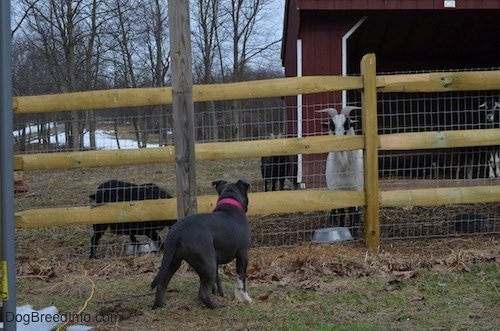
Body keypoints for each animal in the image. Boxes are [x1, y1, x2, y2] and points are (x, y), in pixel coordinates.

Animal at [150, 180, 252, 310]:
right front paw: (244, 298)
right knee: (203, 294)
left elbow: (217, 279)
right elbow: (241, 279)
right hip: (208, 263)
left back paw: (159, 306)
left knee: (161, 285)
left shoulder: (216, 258)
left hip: (174, 262)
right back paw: (217, 306)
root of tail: (177, 230)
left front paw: (220, 293)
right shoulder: (243, 255)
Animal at [316, 107, 364, 237]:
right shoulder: (337, 189)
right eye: (331, 125)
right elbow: (342, 212)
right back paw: (332, 218)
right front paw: (342, 228)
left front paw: (353, 232)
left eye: (347, 124)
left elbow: (353, 211)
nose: (339, 141)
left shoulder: (356, 189)